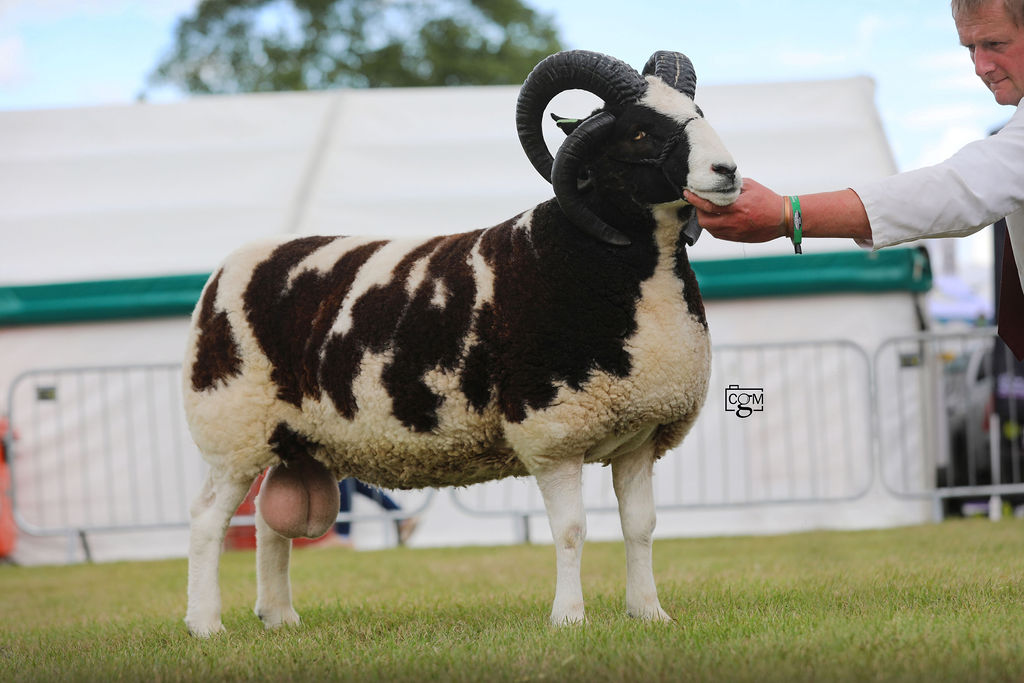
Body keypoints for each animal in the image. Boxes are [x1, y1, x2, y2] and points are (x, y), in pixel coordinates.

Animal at [184, 46, 741, 634]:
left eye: (697, 111)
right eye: (639, 131)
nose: (727, 172)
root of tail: (226, 269)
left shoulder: (639, 432)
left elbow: (640, 526)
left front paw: (650, 614)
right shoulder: (555, 433)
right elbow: (571, 531)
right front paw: (569, 619)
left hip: (288, 441)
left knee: (271, 525)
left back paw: (279, 616)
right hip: (231, 430)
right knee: (207, 520)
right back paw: (205, 624)